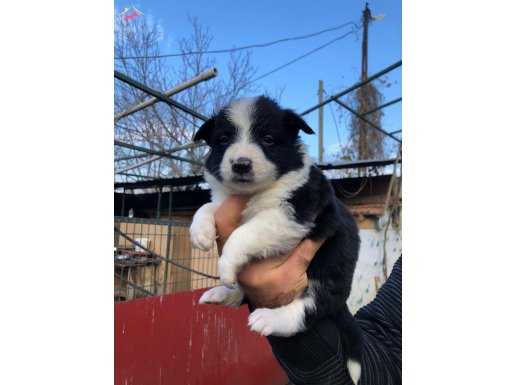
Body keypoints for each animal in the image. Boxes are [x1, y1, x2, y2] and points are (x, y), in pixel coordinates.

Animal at [189, 95, 362, 380]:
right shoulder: (227, 201)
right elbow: (208, 206)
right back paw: (222, 294)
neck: (254, 193)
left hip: (329, 274)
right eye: (223, 140)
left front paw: (226, 265)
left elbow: (246, 232)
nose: (241, 164)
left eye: (268, 139)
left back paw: (270, 318)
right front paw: (199, 232)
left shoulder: (292, 215)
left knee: (311, 308)